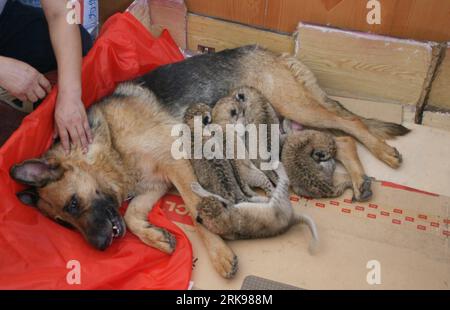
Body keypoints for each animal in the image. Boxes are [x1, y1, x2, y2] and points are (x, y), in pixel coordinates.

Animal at [8, 45, 410, 278]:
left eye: (73, 205)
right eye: (64, 224)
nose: (102, 246)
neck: (109, 149)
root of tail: (271, 51)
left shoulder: (177, 166)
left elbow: (195, 207)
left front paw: (218, 252)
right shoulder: (154, 185)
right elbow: (133, 216)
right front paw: (157, 237)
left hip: (295, 104)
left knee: (351, 124)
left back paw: (384, 153)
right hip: (292, 123)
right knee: (341, 139)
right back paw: (358, 180)